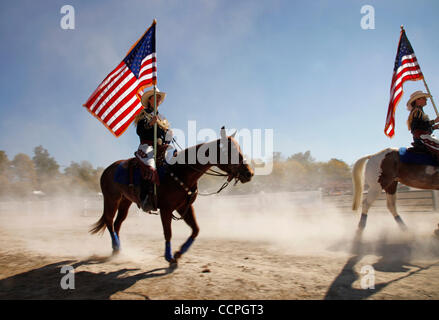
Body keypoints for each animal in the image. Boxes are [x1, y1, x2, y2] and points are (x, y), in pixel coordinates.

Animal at [89, 127, 254, 264]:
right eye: (230, 151)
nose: (249, 173)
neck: (180, 171)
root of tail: (107, 170)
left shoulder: (184, 207)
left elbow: (196, 230)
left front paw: (179, 252)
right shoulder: (166, 209)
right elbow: (168, 233)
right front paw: (169, 256)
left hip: (125, 202)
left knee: (117, 224)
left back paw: (116, 250)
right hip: (111, 199)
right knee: (109, 221)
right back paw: (116, 248)